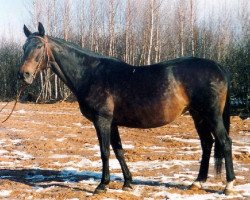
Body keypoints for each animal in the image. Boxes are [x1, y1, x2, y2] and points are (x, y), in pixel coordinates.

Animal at [18, 22, 235, 195]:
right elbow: (119, 150)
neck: (91, 74)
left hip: (211, 115)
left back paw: (229, 185)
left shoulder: (102, 120)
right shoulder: (112, 122)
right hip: (198, 115)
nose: (23, 75)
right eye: (24, 47)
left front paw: (102, 185)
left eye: (39, 46)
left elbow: (105, 151)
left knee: (224, 142)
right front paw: (128, 182)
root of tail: (217, 67)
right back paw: (197, 182)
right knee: (207, 143)